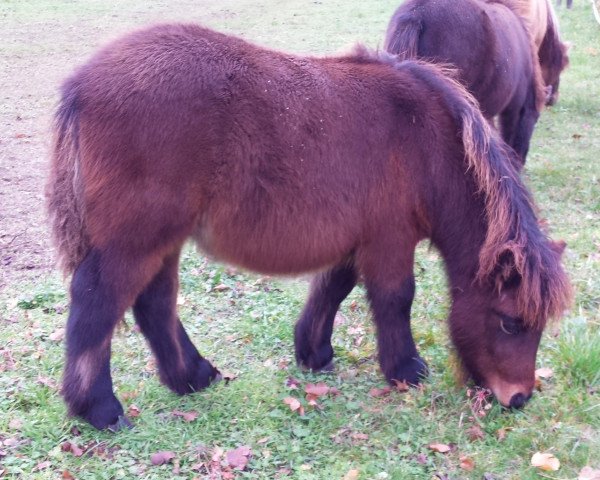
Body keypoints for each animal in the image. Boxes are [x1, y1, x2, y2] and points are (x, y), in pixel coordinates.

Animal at [47, 23, 572, 432]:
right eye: (510, 321)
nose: (519, 398)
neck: (425, 142)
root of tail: (81, 85)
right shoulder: (390, 240)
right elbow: (395, 298)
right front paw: (406, 369)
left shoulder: (358, 240)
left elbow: (332, 289)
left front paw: (313, 352)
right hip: (135, 242)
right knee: (97, 306)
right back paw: (100, 408)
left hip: (162, 240)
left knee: (154, 305)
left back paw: (192, 377)